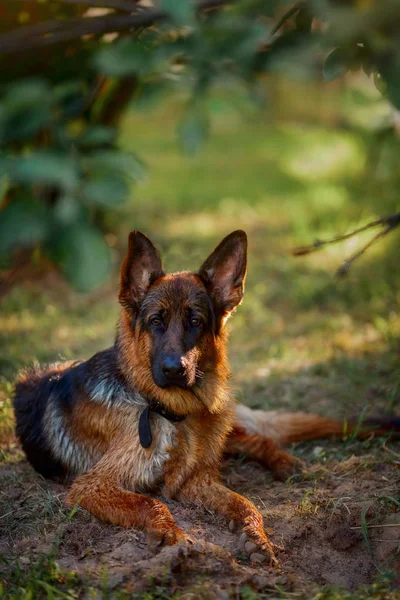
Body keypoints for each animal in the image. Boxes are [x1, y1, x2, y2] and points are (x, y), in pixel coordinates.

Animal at [13, 229, 400, 564]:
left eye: (195, 322)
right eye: (155, 322)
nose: (174, 369)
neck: (166, 411)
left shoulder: (196, 480)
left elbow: (245, 503)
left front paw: (257, 536)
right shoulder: (92, 486)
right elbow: (151, 503)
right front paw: (171, 533)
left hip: (223, 421)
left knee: (254, 439)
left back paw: (284, 462)